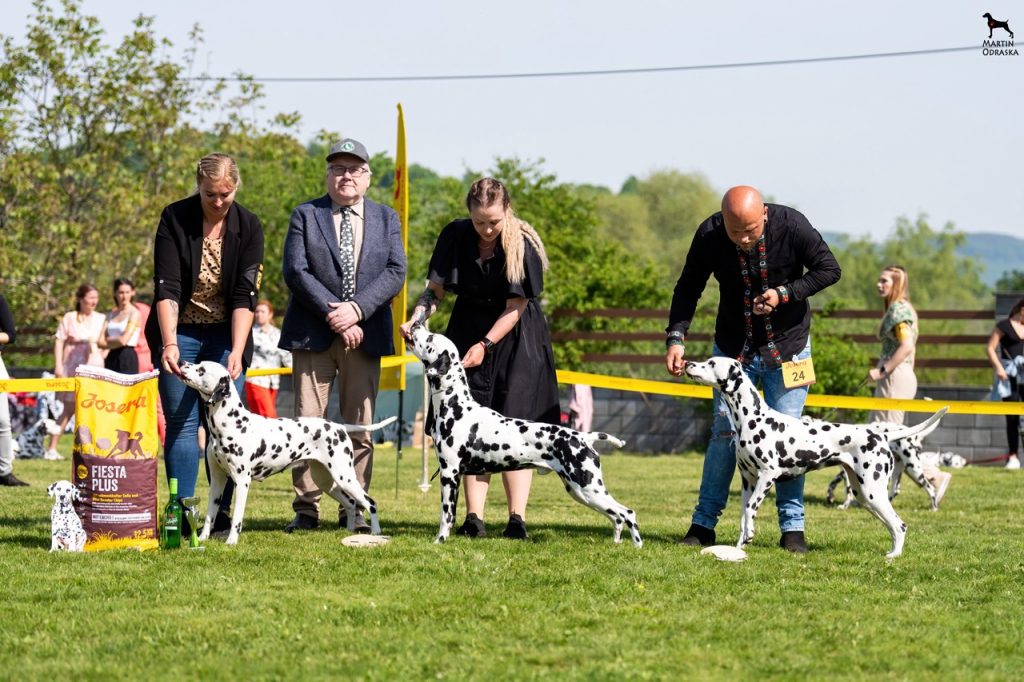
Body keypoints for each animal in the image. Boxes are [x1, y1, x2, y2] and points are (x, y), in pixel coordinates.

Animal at [177, 361, 395, 545]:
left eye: (201, 369)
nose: (182, 362)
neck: (231, 423)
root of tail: (339, 426)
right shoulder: (217, 479)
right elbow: (209, 515)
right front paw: (201, 539)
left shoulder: (241, 481)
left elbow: (237, 518)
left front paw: (231, 541)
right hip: (325, 480)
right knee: (350, 503)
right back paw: (350, 531)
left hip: (345, 478)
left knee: (370, 503)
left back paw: (375, 532)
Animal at [406, 324, 641, 547]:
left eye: (430, 338)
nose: (415, 325)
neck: (456, 405)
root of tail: (583, 437)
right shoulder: (456, 474)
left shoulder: (450, 472)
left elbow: (446, 515)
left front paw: (440, 540)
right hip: (581, 491)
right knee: (617, 517)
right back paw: (616, 543)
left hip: (587, 487)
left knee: (627, 513)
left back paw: (637, 547)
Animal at [683, 357, 948, 559]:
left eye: (711, 363)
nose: (687, 363)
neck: (752, 418)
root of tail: (881, 434)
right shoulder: (748, 479)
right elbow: (743, 515)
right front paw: (740, 546)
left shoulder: (767, 476)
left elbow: (749, 510)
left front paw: (748, 537)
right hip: (865, 496)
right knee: (892, 525)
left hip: (875, 491)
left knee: (900, 524)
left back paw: (894, 556)